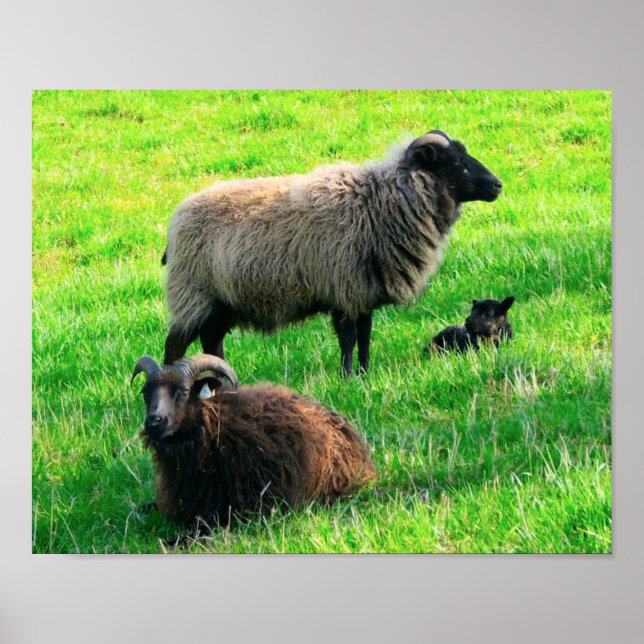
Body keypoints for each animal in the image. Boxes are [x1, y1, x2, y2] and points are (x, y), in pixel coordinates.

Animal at [162, 130, 502, 376]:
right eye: (456, 161)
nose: (498, 185)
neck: (378, 205)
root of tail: (176, 221)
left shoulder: (364, 291)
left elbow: (365, 335)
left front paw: (365, 374)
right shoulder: (343, 288)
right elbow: (348, 338)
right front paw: (347, 376)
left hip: (221, 302)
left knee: (212, 342)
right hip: (193, 293)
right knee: (175, 345)